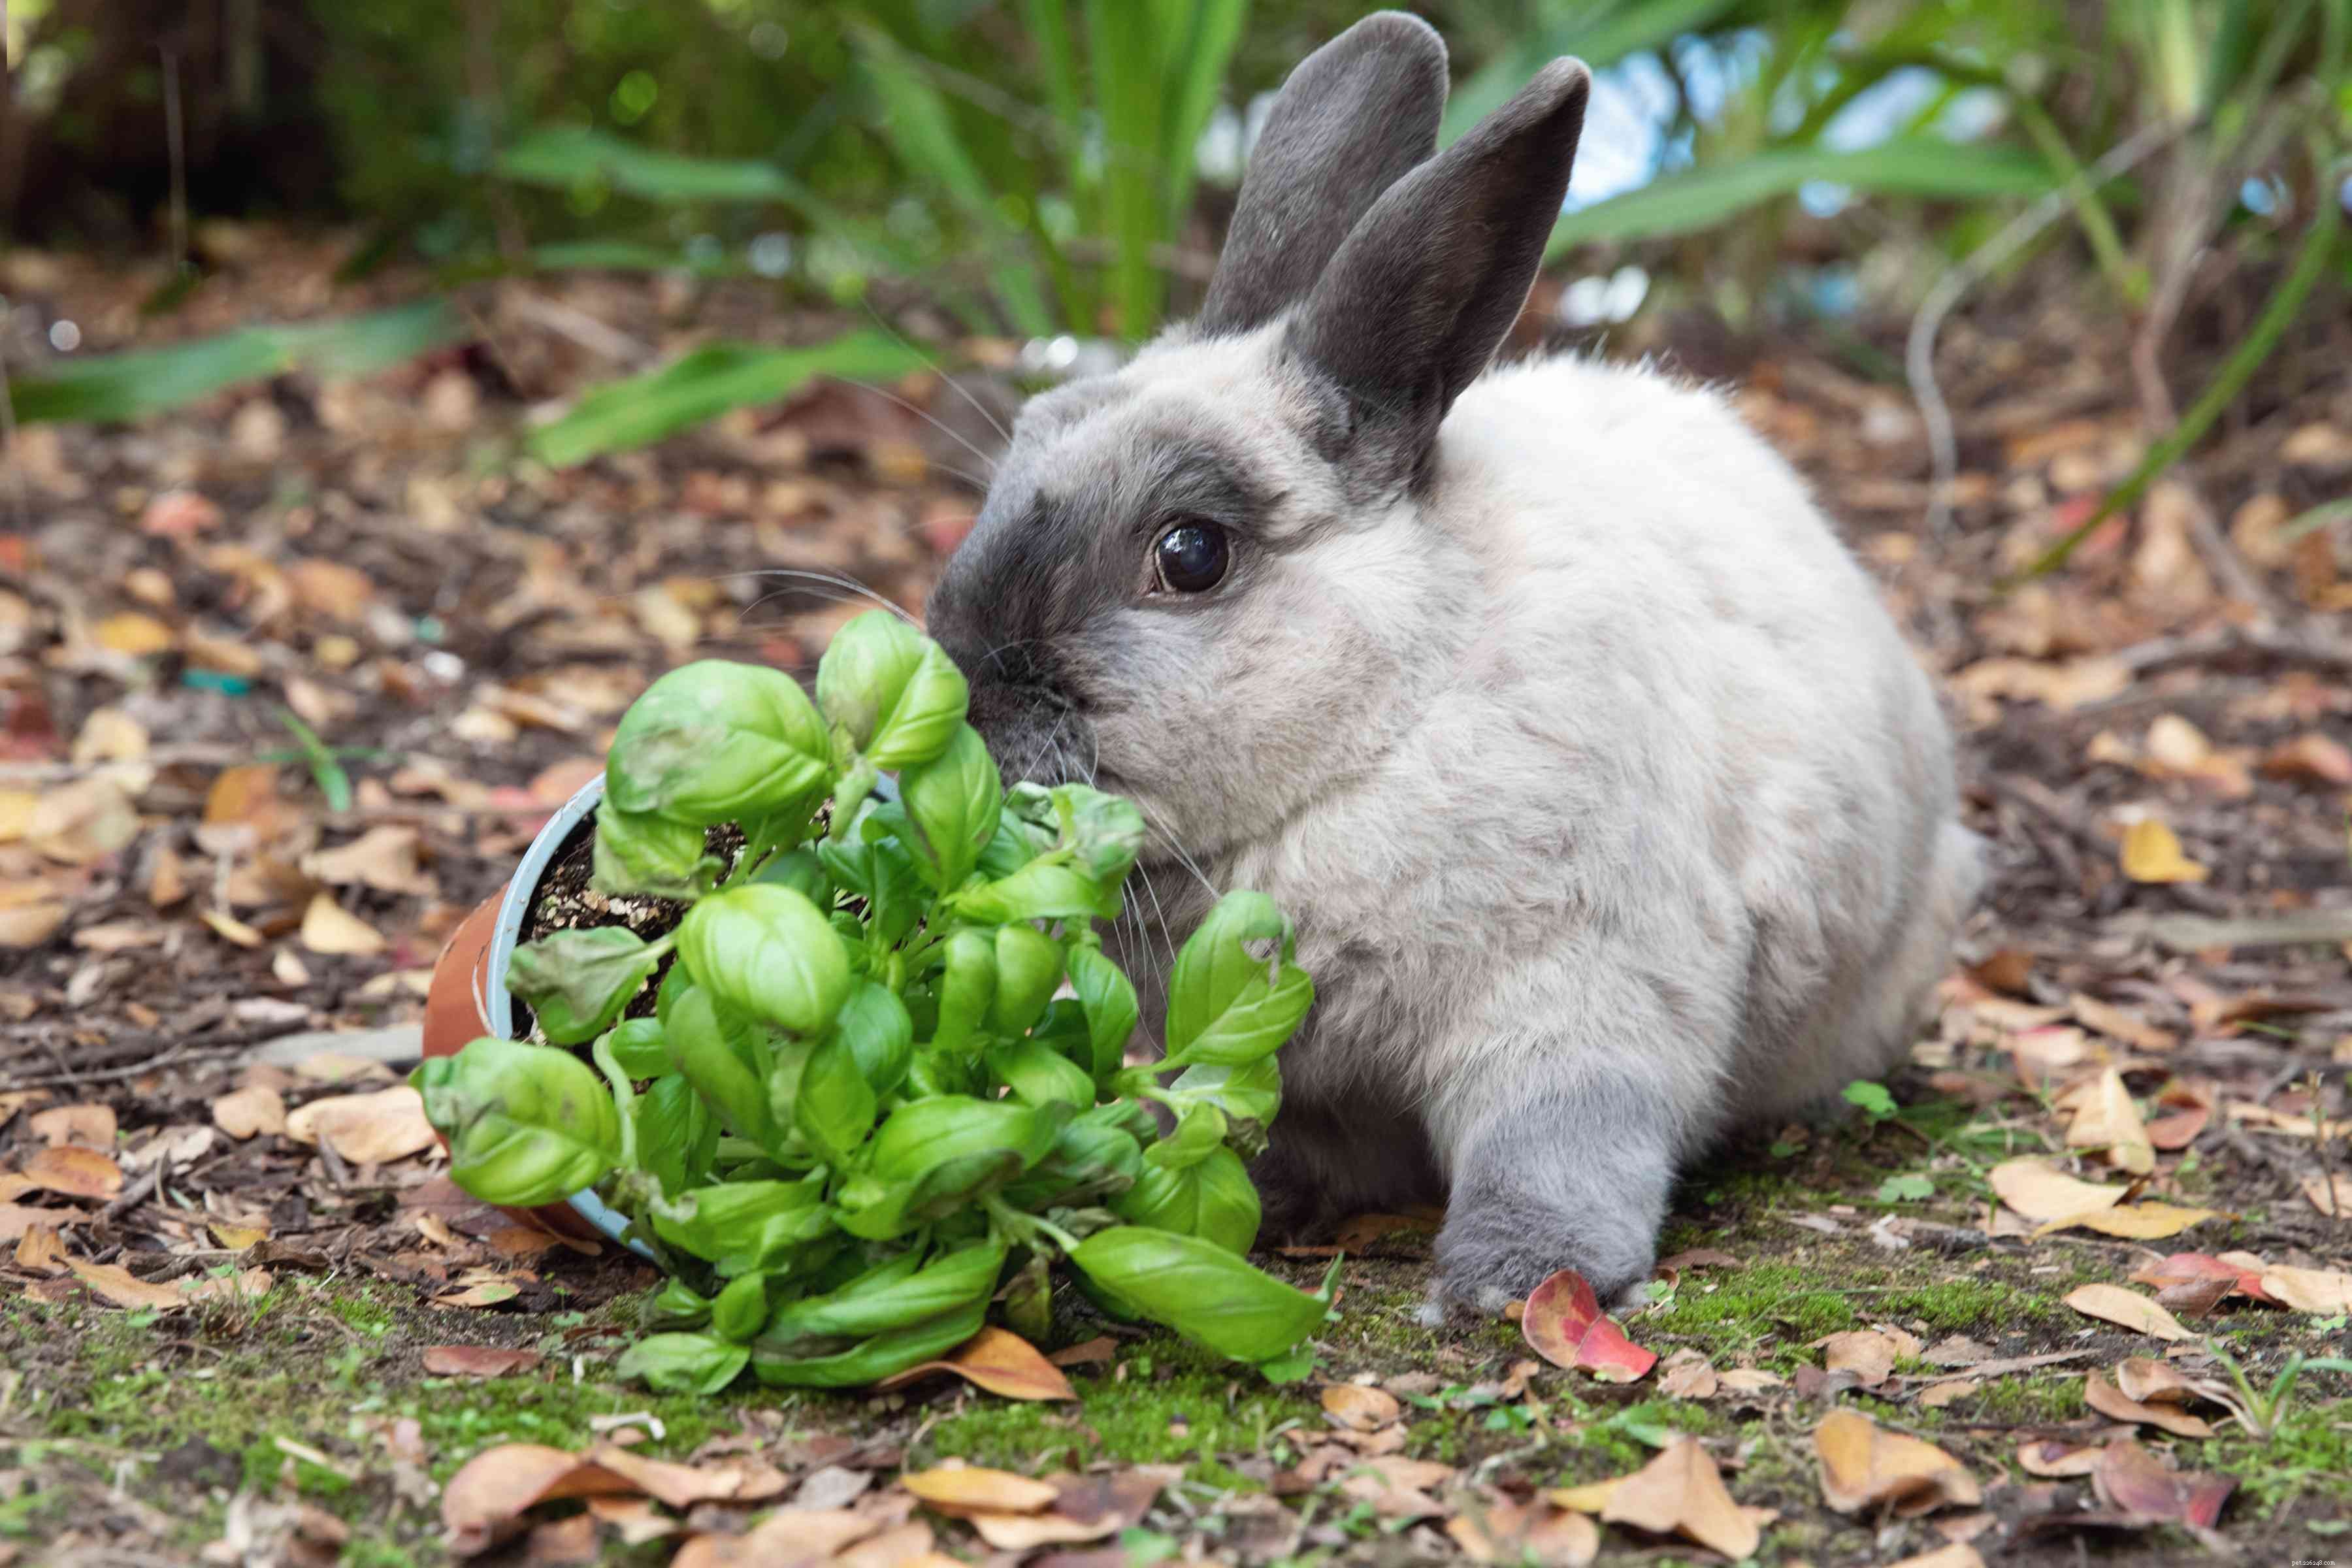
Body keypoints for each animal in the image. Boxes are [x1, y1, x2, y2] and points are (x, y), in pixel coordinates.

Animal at [922, 11, 1982, 1315]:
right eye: (1021, 448)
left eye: (1191, 553)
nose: (972, 693)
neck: (1382, 727)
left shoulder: (1582, 997)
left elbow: (1558, 1140)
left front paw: (1510, 1277)